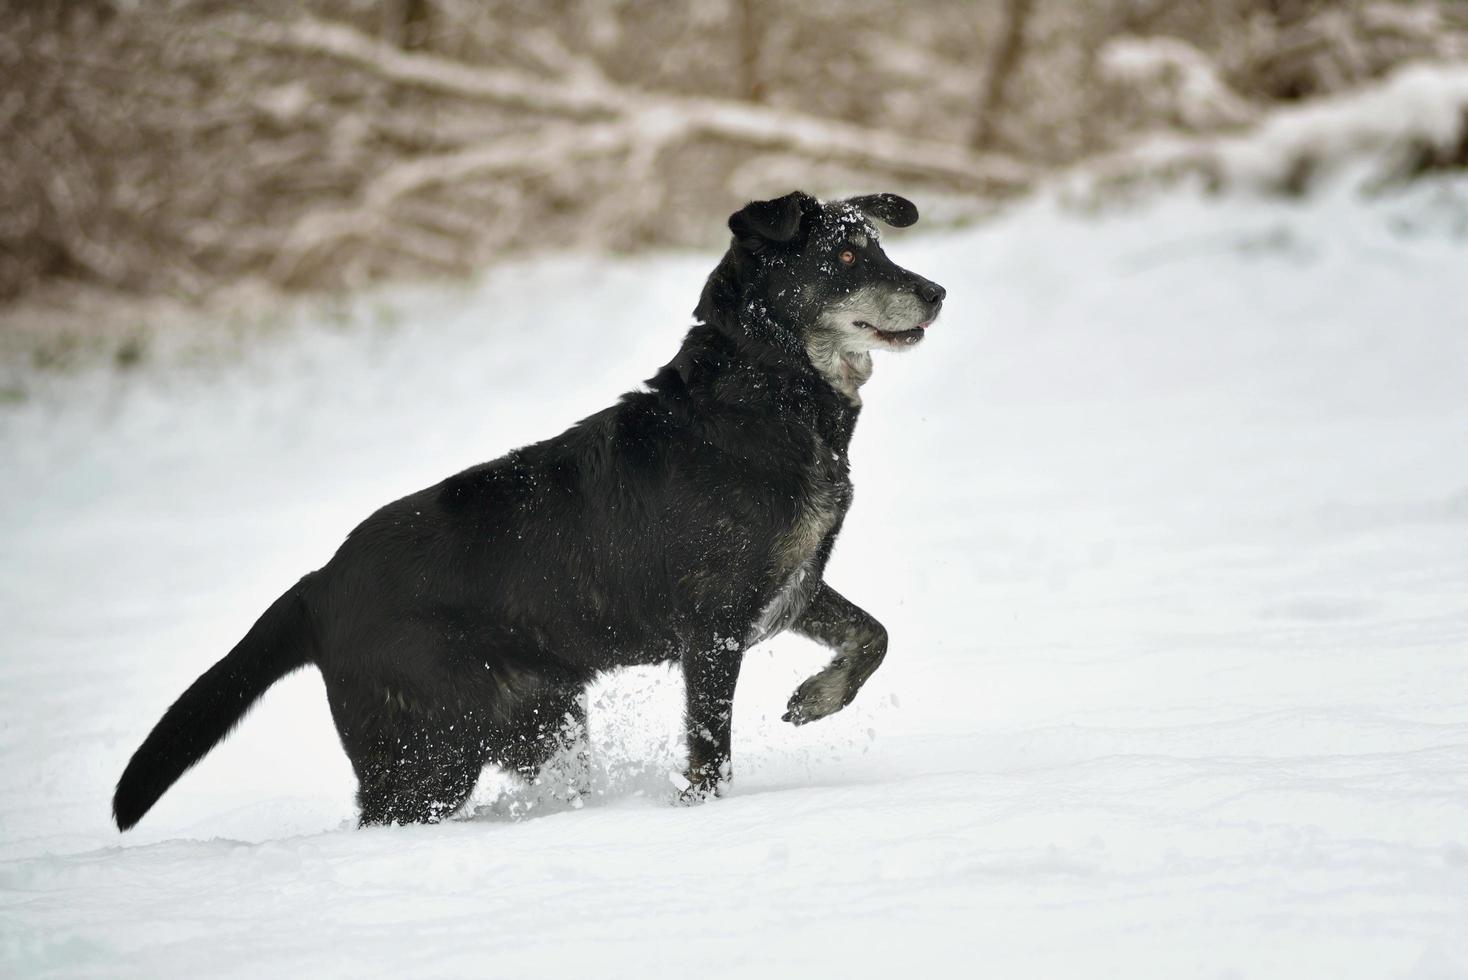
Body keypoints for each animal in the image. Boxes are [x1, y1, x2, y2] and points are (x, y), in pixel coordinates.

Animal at [111, 190, 939, 827]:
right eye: (844, 261)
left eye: (878, 248)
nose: (936, 292)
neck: (761, 395)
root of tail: (317, 586)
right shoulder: (712, 628)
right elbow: (710, 750)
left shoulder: (792, 587)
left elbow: (872, 635)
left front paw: (816, 699)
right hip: (426, 754)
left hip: (538, 722)